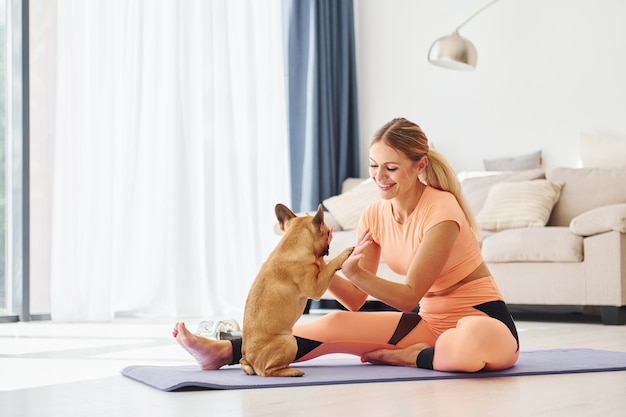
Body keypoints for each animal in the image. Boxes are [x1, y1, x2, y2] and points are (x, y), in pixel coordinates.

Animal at [241, 203, 354, 376]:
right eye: (328, 232)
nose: (330, 236)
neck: (292, 242)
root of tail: (247, 359)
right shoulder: (315, 288)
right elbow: (329, 266)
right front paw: (344, 254)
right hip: (290, 341)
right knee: (268, 371)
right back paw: (291, 371)